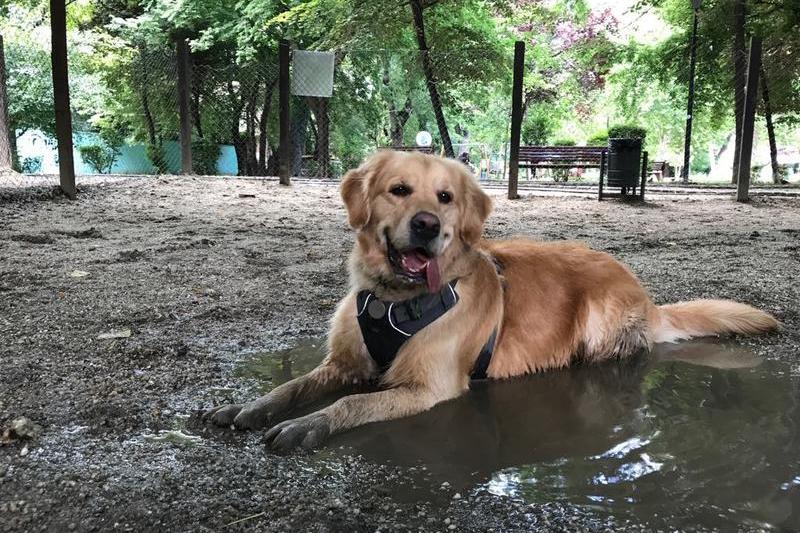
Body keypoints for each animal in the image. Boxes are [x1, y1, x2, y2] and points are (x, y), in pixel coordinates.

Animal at [203, 149, 780, 448]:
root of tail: (644, 292)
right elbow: (292, 385)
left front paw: (308, 424)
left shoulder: (427, 386)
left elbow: (350, 403)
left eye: (445, 197)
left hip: (598, 324)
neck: (395, 299)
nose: (428, 225)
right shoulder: (342, 362)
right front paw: (251, 406)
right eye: (398, 190)